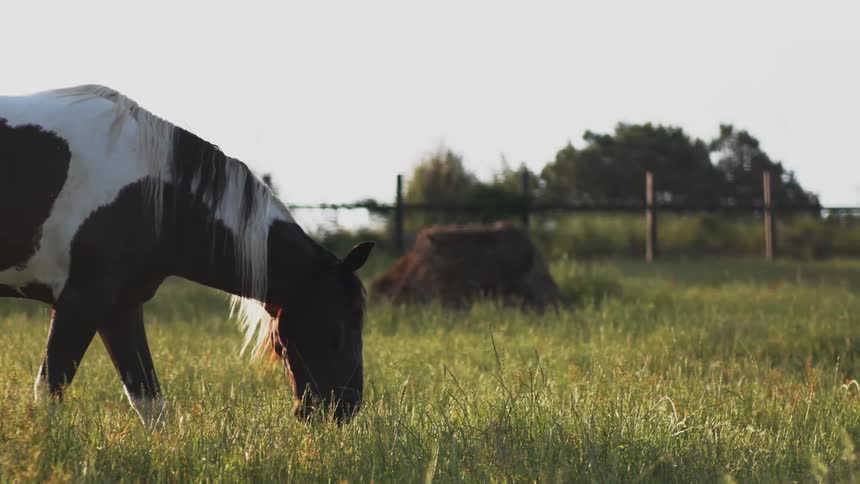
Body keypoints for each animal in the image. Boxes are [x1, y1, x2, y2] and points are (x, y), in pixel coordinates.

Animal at [0, 85, 374, 428]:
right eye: (345, 324)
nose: (345, 407)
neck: (148, 195)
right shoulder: (80, 301)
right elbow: (49, 393)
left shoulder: (120, 307)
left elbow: (149, 402)